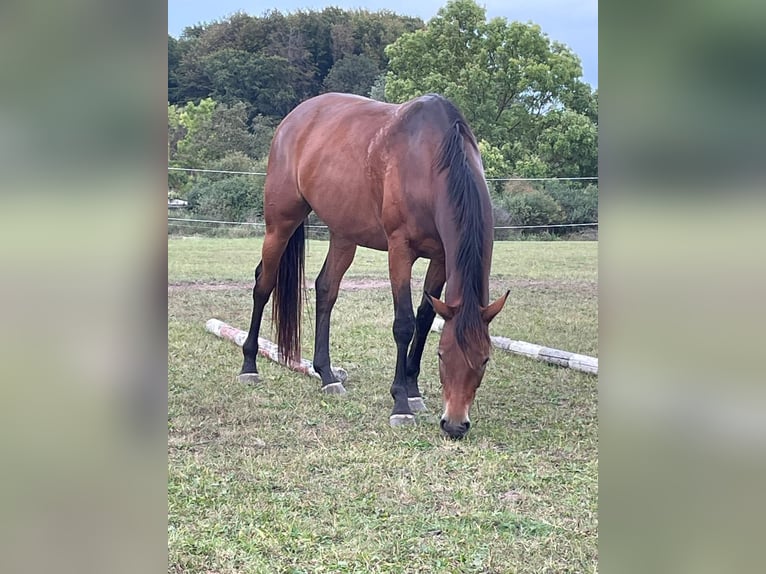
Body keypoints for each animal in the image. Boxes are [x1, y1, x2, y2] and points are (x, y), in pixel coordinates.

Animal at [238, 92, 508, 439]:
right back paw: (249, 366)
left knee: (326, 289)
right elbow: (404, 323)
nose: (455, 424)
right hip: (280, 224)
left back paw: (327, 376)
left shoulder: (441, 258)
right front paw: (401, 403)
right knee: (263, 284)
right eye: (442, 355)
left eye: (485, 359)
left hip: (343, 235)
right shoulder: (399, 250)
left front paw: (413, 390)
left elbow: (424, 317)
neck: (431, 158)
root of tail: (292, 119)